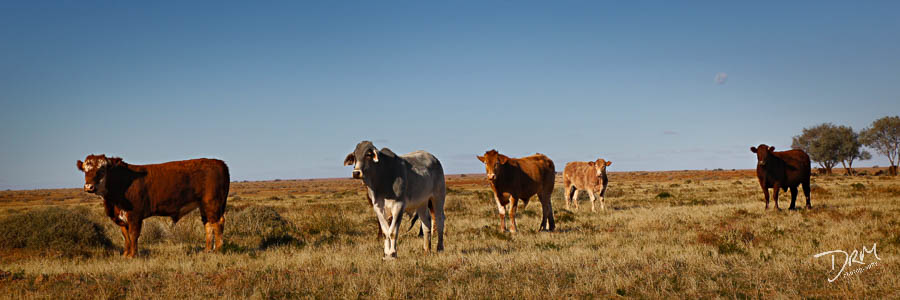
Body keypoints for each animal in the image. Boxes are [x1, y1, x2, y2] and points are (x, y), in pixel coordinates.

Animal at [76, 155, 229, 258]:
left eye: (102, 169)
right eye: (85, 170)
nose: (89, 186)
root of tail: (219, 162)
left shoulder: (134, 216)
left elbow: (133, 234)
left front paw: (133, 255)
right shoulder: (121, 218)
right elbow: (126, 236)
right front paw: (126, 254)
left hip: (212, 203)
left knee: (218, 223)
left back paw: (217, 250)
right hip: (204, 206)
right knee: (208, 224)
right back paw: (207, 250)